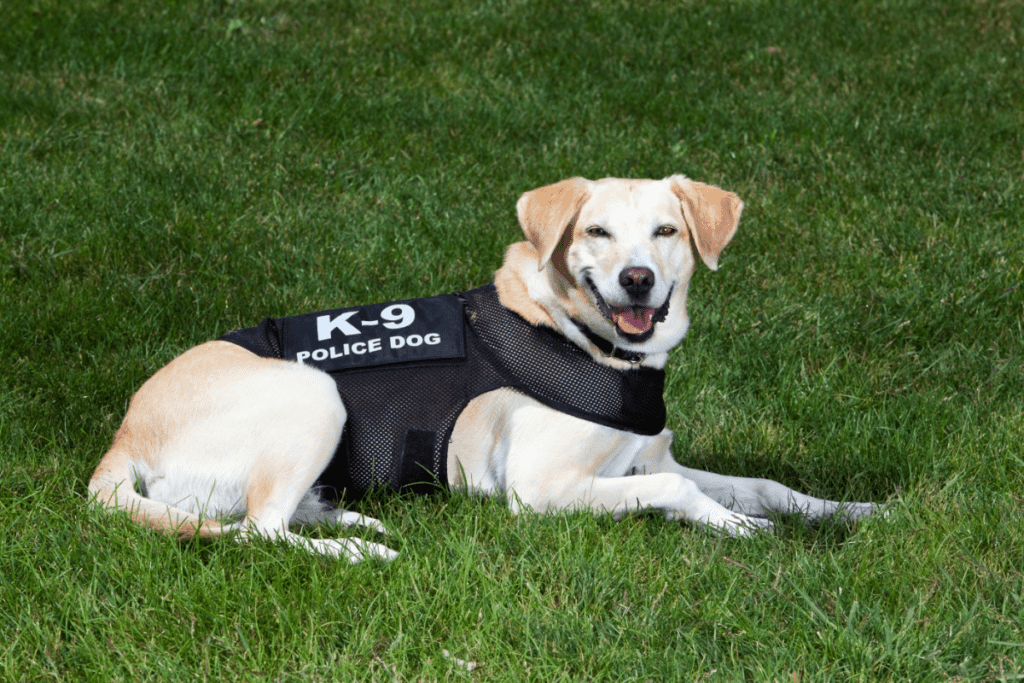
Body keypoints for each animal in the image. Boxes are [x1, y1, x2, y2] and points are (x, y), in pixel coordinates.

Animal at [88, 175, 876, 561]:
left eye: (666, 231)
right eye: (596, 232)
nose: (639, 280)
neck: (584, 341)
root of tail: (123, 439)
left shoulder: (645, 458)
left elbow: (766, 485)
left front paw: (852, 511)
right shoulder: (542, 489)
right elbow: (678, 492)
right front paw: (739, 529)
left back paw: (346, 514)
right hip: (317, 391)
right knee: (257, 530)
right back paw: (350, 548)